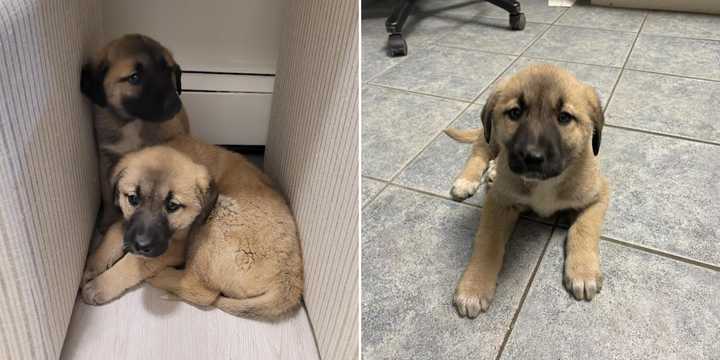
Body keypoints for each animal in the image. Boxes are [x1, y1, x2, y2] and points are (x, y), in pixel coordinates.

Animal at [81, 33, 191, 238]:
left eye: (168, 72)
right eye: (135, 77)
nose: (175, 105)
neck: (134, 122)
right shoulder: (106, 160)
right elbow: (107, 194)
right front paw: (108, 219)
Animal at [448, 64, 612, 318]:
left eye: (564, 117)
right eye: (515, 113)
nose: (532, 157)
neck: (544, 183)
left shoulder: (599, 195)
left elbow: (583, 228)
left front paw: (583, 271)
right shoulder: (498, 202)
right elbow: (488, 241)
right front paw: (473, 287)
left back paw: (494, 170)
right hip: (492, 136)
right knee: (479, 150)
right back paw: (467, 180)